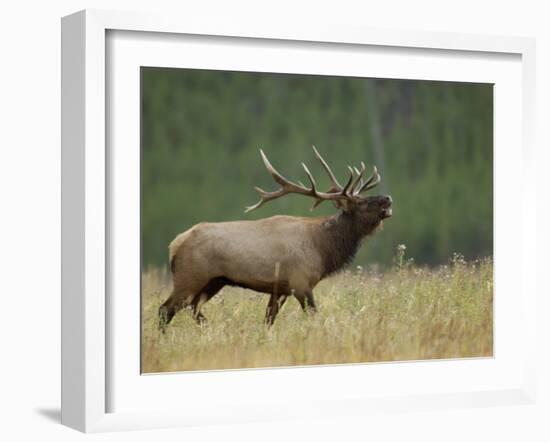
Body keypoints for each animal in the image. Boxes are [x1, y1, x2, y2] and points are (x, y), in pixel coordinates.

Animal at [157, 147, 394, 330]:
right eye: (361, 202)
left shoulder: (280, 289)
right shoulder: (300, 282)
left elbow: (268, 321)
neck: (323, 248)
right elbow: (313, 315)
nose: (388, 198)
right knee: (165, 309)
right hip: (189, 277)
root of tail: (174, 244)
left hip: (214, 281)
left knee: (192, 309)